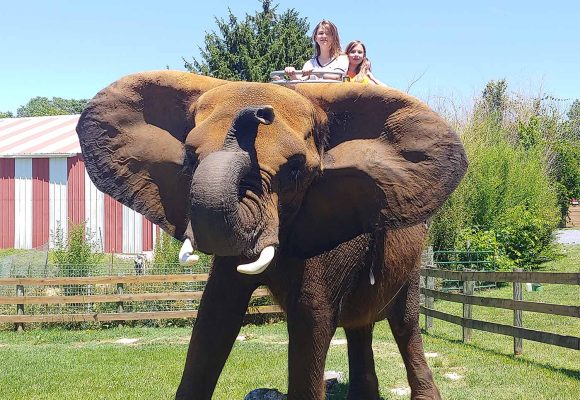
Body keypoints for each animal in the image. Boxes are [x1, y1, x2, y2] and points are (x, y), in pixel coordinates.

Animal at [76, 72, 466, 400]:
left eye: (295, 169)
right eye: (188, 158)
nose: (258, 113)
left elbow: (311, 319)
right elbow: (213, 316)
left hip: (415, 260)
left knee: (404, 324)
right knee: (360, 324)